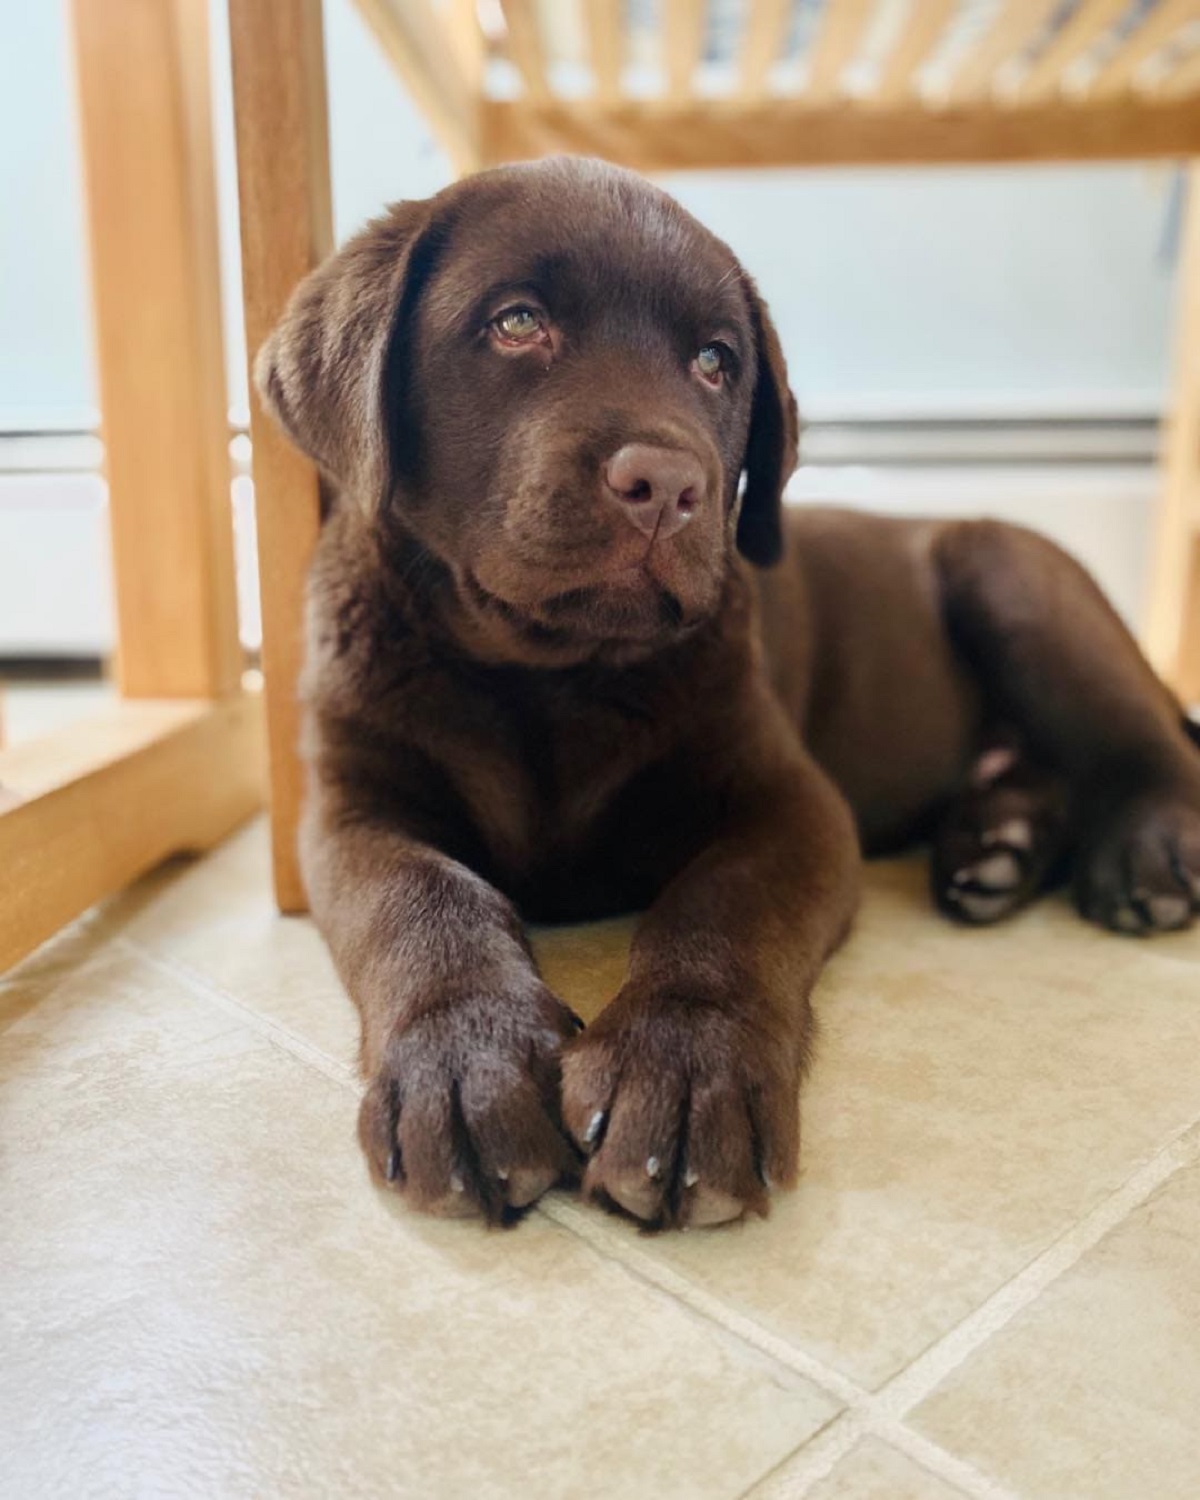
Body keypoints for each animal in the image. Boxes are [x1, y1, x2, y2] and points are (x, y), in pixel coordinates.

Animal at [259, 155, 1200, 1230]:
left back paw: (1144, 855)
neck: (548, 678)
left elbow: (720, 904)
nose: (669, 486)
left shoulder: (789, 800)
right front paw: (468, 1063)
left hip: (1013, 578)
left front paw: (682, 1073)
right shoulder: (351, 809)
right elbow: (421, 902)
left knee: (1148, 747)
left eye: (714, 361)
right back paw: (996, 849)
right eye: (517, 321)